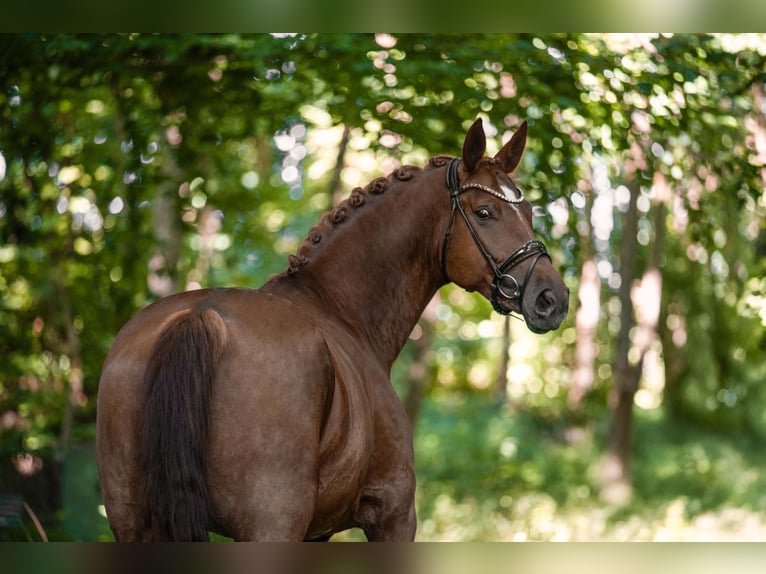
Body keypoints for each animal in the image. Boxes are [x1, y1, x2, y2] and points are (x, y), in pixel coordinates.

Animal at [96, 118, 569, 541]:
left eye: (528, 211)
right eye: (484, 212)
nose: (553, 298)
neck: (340, 310)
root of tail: (200, 315)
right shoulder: (393, 514)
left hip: (133, 522)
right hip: (271, 523)